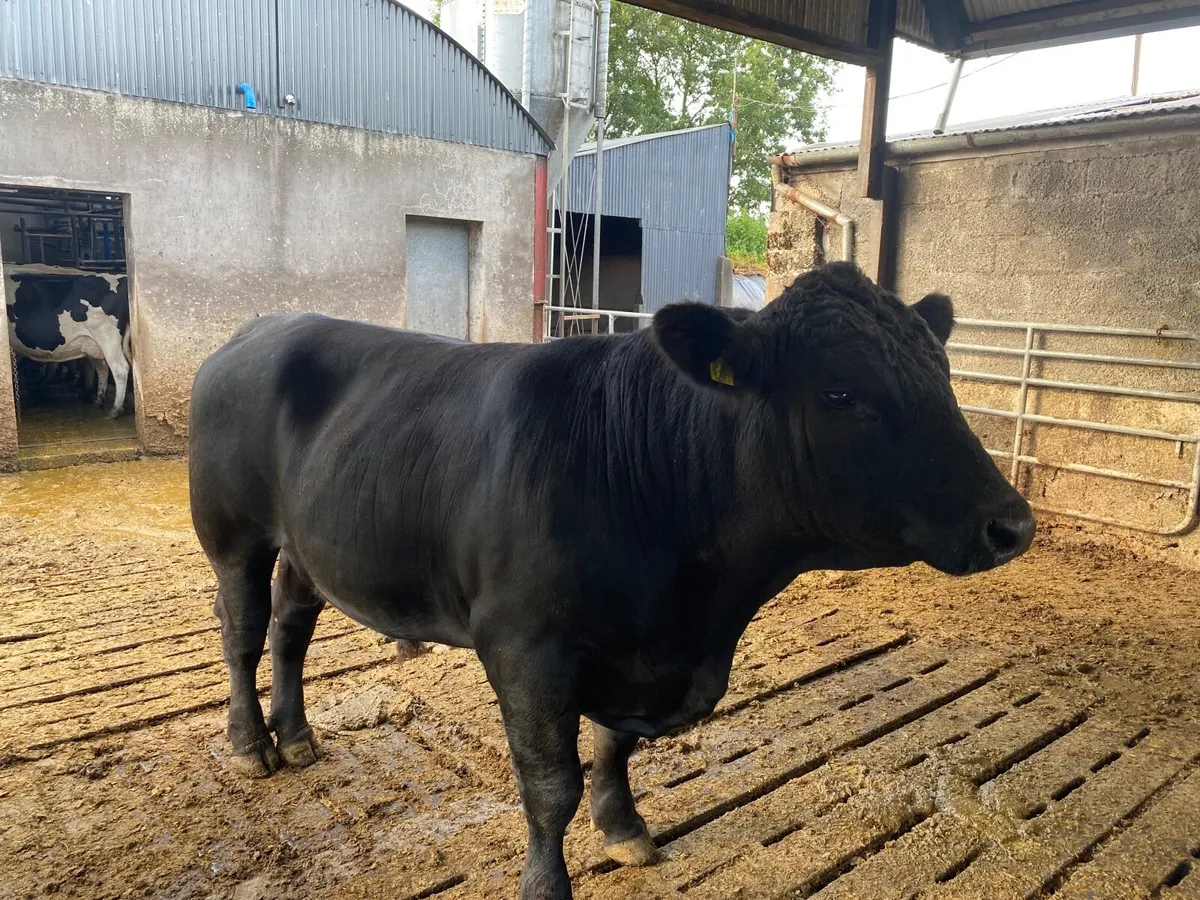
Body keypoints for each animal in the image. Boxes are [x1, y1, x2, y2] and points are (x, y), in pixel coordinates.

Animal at [4, 264, 132, 417]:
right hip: (93, 342)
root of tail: (120, 277)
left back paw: (115, 409)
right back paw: (99, 400)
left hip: (107, 338)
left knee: (120, 368)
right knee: (102, 366)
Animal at [188, 262, 1035, 900]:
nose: (1012, 525)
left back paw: (298, 736)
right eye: (839, 393)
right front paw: (546, 886)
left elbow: (613, 746)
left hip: (308, 544)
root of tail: (261, 327)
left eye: (943, 374)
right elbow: (549, 784)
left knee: (290, 628)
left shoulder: (634, 650)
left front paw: (624, 828)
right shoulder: (525, 645)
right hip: (231, 534)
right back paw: (251, 744)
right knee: (242, 632)